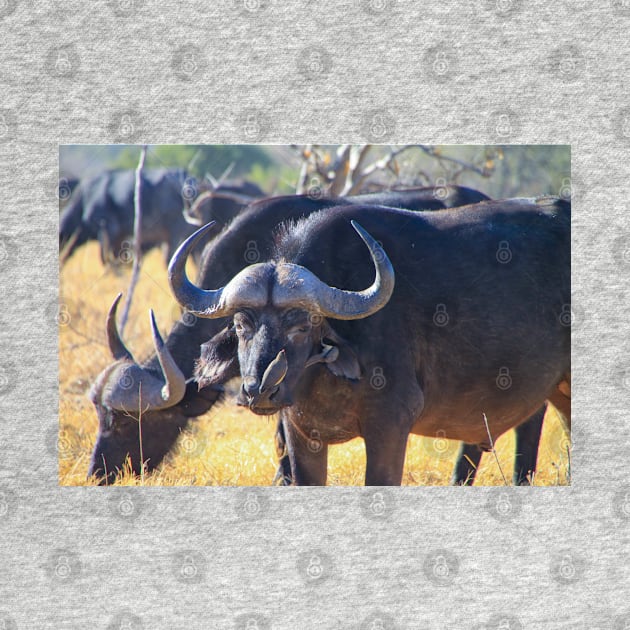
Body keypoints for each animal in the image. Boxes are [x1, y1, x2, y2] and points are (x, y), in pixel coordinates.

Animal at [172, 200, 572, 486]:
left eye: (302, 325)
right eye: (242, 325)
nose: (259, 391)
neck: (321, 379)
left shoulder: (390, 426)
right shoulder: (301, 437)